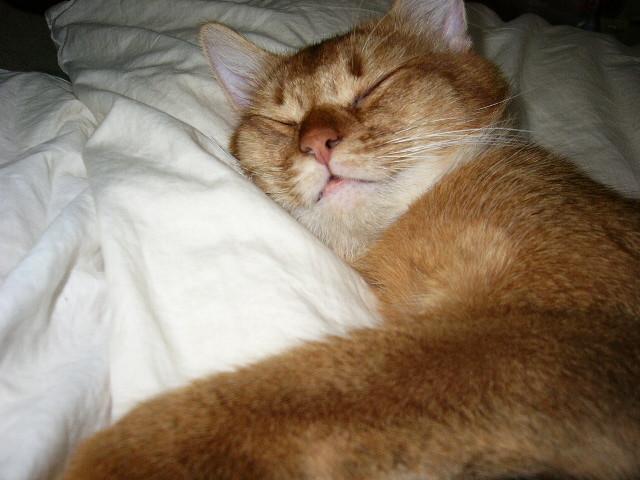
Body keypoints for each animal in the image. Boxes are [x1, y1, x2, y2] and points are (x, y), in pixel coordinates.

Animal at [62, 0, 640, 478]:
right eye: (282, 120)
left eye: (374, 86)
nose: (317, 142)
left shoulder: (558, 340)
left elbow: (308, 389)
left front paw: (125, 453)